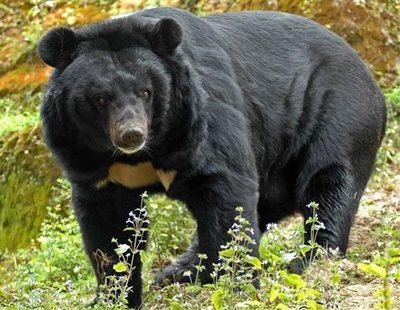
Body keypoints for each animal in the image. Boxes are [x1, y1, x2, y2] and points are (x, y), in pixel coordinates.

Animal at [37, 6, 384, 308]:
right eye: (100, 98)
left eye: (146, 92)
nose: (131, 134)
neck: (141, 155)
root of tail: (370, 75)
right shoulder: (84, 156)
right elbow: (108, 230)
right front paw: (113, 297)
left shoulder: (201, 117)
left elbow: (227, 191)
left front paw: (237, 284)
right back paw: (178, 270)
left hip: (339, 113)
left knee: (328, 184)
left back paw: (310, 259)